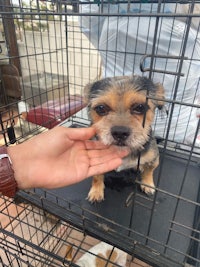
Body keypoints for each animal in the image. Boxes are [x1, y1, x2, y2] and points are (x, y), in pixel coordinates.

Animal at [84, 75, 164, 203]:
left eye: (140, 107)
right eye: (101, 108)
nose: (120, 132)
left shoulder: (154, 158)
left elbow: (149, 171)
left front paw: (147, 184)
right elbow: (97, 176)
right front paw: (96, 191)